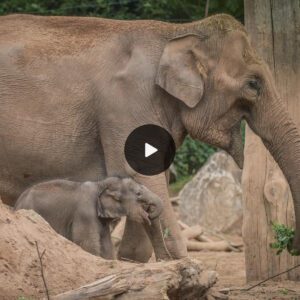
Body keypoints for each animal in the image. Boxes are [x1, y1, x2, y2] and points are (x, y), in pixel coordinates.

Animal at [14, 177, 163, 258]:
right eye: (138, 194)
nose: (149, 212)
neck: (101, 183)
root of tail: (16, 204)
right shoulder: (85, 212)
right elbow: (87, 243)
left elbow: (107, 246)